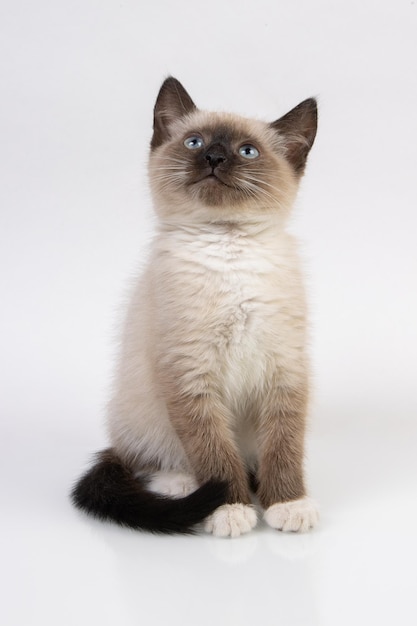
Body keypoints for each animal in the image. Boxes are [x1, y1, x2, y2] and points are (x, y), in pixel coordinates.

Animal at [71, 77, 318, 536]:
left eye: (247, 151)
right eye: (194, 142)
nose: (214, 157)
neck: (228, 245)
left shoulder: (285, 368)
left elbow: (284, 446)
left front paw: (288, 503)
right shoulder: (190, 373)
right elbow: (214, 452)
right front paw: (229, 507)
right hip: (141, 412)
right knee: (145, 460)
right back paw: (181, 484)